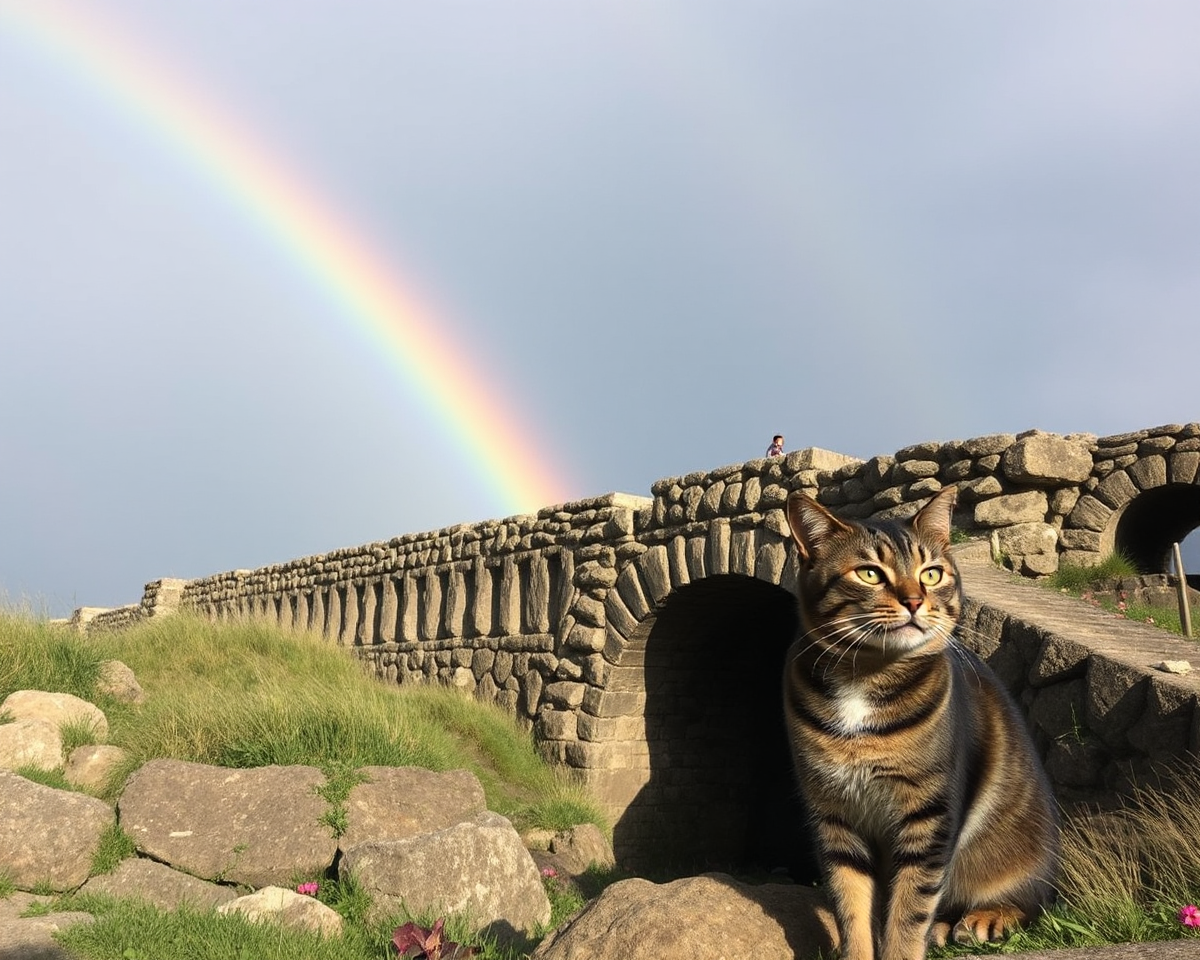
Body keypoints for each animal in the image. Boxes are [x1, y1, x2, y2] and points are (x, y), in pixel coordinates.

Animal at [782, 487, 1056, 960]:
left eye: (931, 573)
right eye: (870, 574)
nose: (914, 601)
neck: (865, 677)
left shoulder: (929, 817)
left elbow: (909, 910)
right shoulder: (834, 816)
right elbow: (850, 906)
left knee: (1033, 901)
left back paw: (986, 918)